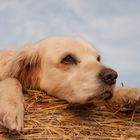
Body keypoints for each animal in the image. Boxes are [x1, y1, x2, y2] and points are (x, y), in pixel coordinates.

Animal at [0, 36, 139, 132]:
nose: (112, 76)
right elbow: (12, 79)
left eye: (98, 59)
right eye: (68, 59)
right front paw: (11, 108)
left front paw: (130, 92)